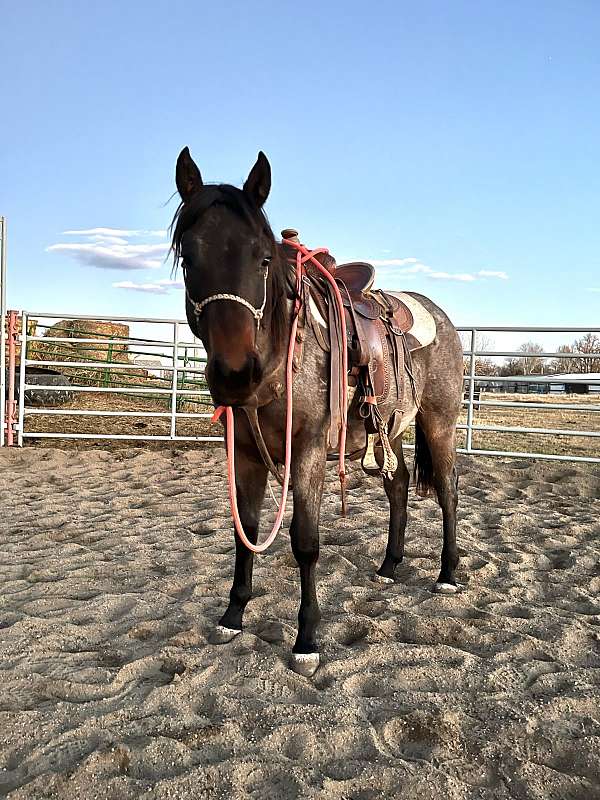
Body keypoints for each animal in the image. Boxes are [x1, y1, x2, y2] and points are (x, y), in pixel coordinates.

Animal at [170, 145, 464, 676]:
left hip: (439, 423)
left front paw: (306, 639)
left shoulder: (307, 451)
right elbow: (245, 532)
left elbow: (305, 541)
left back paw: (447, 573)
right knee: (399, 483)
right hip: (389, 429)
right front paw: (232, 615)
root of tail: (439, 315)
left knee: (447, 489)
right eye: (188, 257)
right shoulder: (244, 455)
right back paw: (389, 565)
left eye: (263, 258)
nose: (235, 375)